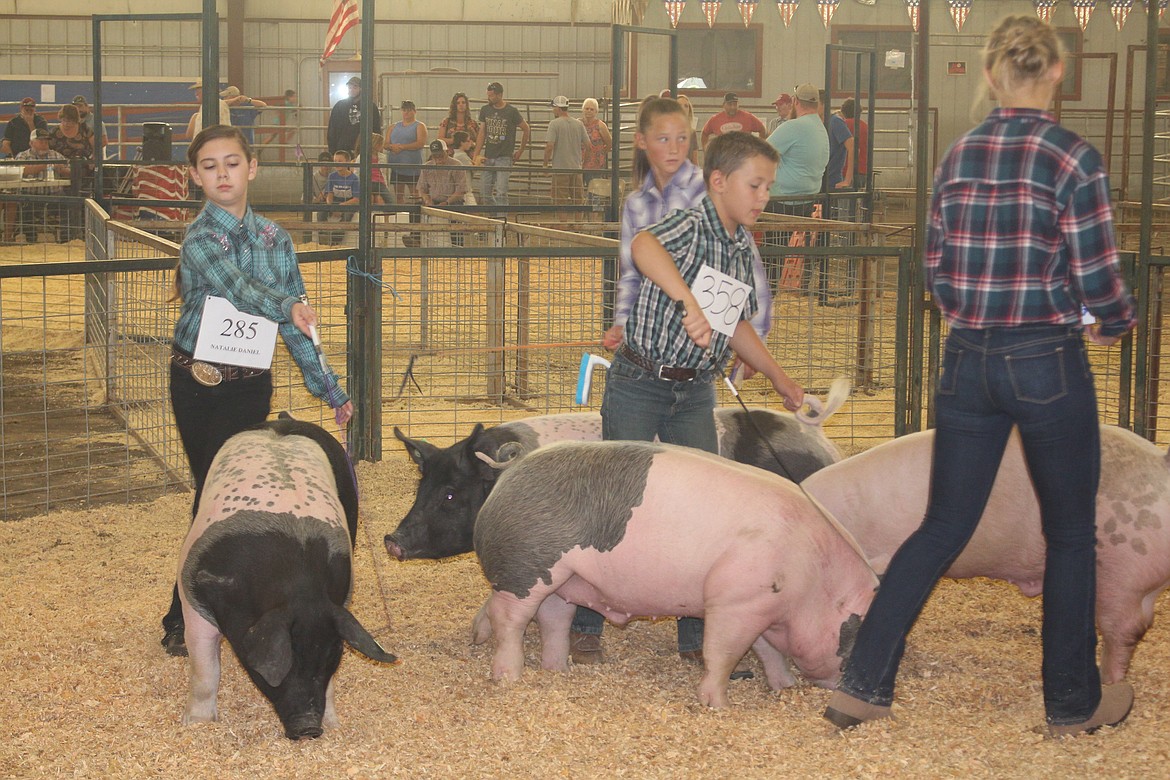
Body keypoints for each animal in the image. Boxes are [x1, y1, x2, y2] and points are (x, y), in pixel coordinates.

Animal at [176, 413, 397, 739]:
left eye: (330, 659)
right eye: (287, 663)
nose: (309, 728)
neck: (295, 588)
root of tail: (283, 420)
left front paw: (334, 724)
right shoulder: (193, 590)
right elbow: (204, 669)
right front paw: (197, 723)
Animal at [470, 439, 875, 706]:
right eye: (856, 634)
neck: (816, 579)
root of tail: (512, 468)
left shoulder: (757, 605)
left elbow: (767, 652)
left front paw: (785, 687)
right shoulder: (734, 601)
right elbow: (722, 653)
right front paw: (716, 705)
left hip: (562, 578)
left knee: (554, 619)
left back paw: (558, 672)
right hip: (524, 567)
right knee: (509, 619)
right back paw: (509, 677)